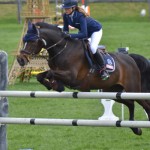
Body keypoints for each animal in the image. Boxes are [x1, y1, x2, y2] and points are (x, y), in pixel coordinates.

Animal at [16, 21, 150, 135]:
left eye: (32, 41)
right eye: (24, 40)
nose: (20, 60)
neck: (62, 49)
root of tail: (130, 59)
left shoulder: (72, 76)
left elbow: (50, 73)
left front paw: (55, 85)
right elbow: (41, 75)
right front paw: (55, 86)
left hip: (132, 89)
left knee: (144, 104)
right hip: (112, 91)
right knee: (130, 103)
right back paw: (135, 128)